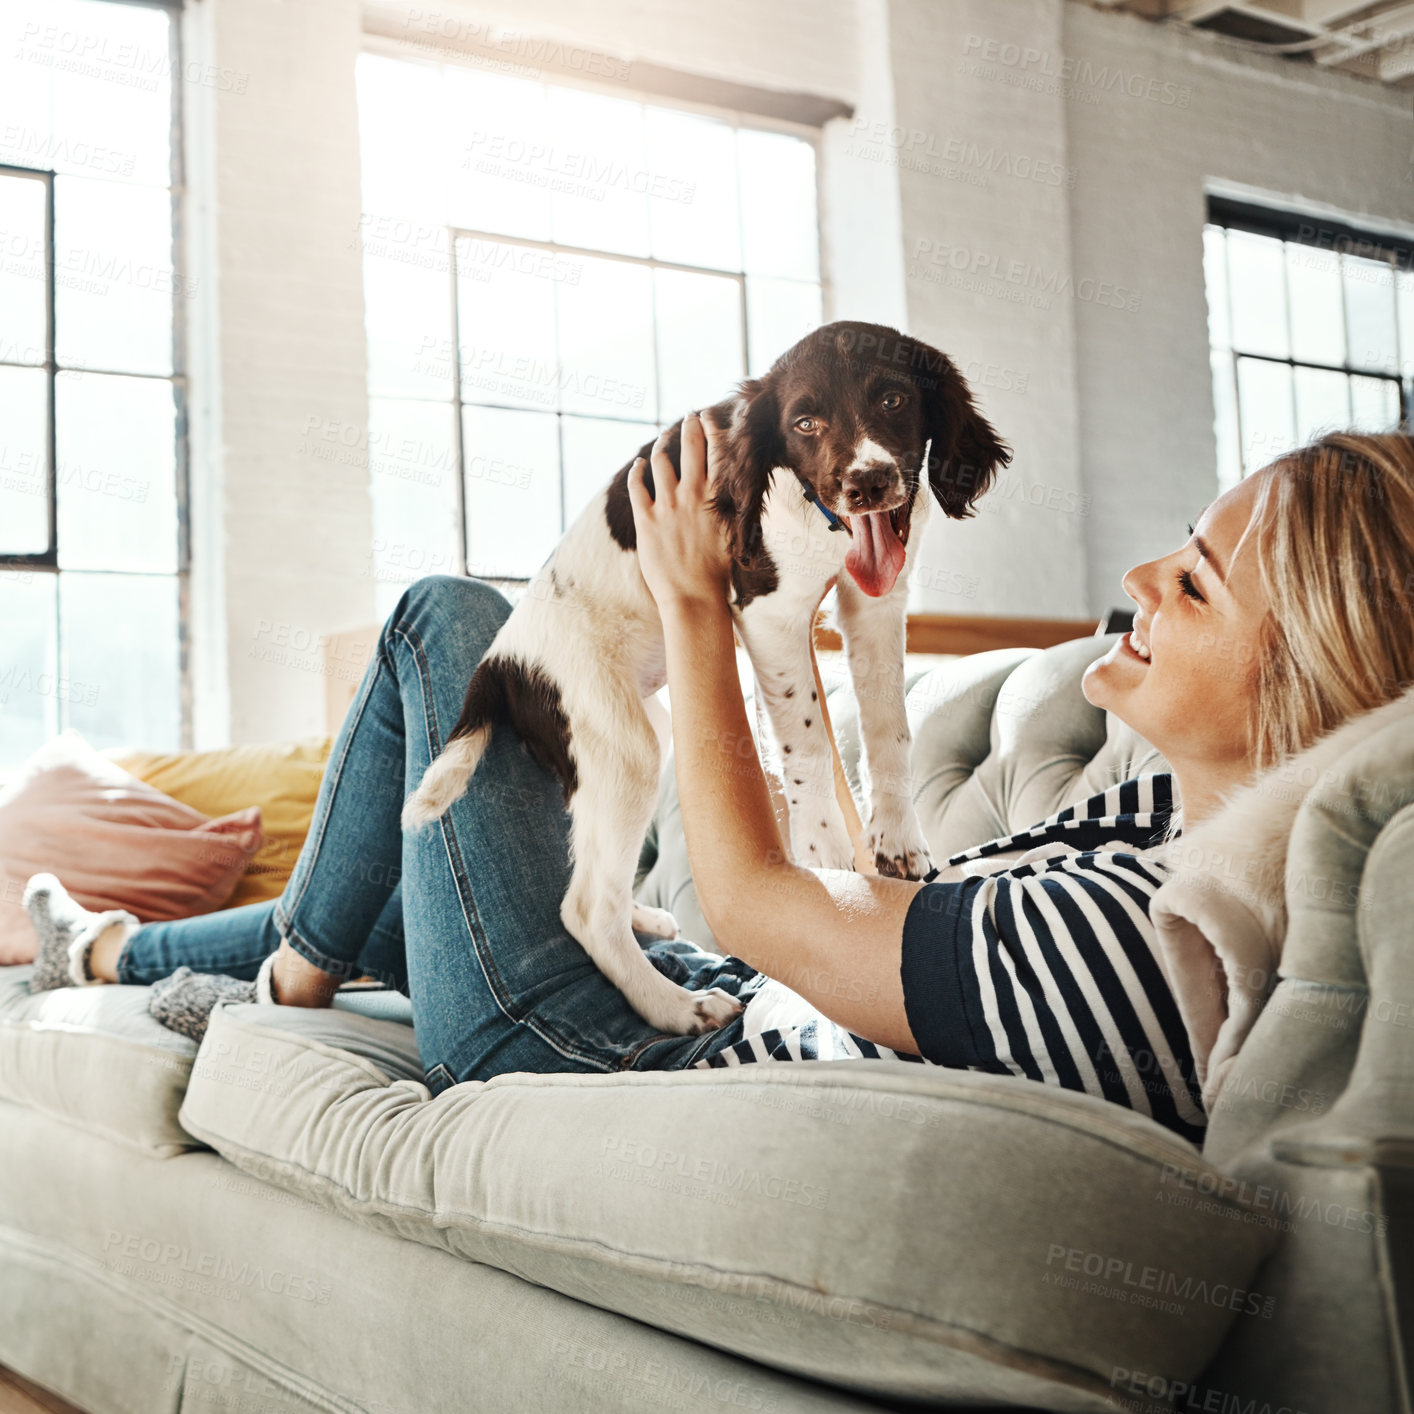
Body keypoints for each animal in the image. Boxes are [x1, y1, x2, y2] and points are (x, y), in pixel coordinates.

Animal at [404, 323, 1012, 1040]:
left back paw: (644, 922)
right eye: (804, 422)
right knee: (586, 909)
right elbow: (808, 739)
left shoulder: (878, 604)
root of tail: (500, 663)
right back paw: (675, 1005)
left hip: (642, 732)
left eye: (894, 399)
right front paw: (825, 850)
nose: (866, 484)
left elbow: (890, 726)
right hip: (624, 746)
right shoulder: (768, 612)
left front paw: (895, 838)